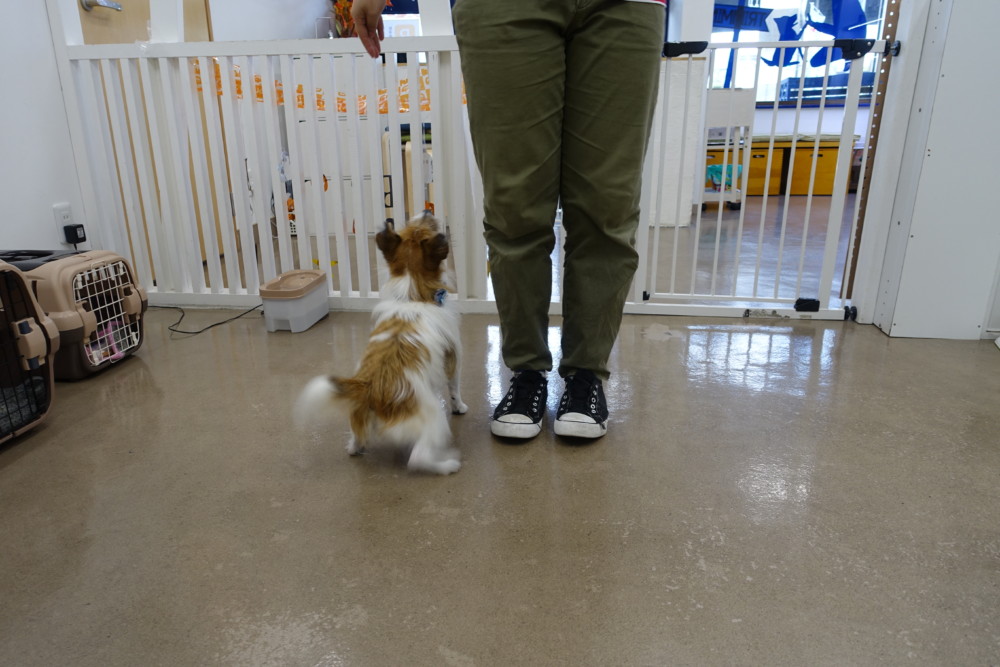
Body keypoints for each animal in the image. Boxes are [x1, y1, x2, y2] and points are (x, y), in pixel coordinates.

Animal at [296, 213, 468, 474]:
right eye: (424, 227)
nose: (426, 212)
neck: (411, 295)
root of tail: (369, 388)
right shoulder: (454, 361)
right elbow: (455, 389)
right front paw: (460, 407)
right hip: (433, 420)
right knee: (418, 458)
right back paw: (446, 464)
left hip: (359, 416)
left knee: (357, 439)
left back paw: (355, 447)